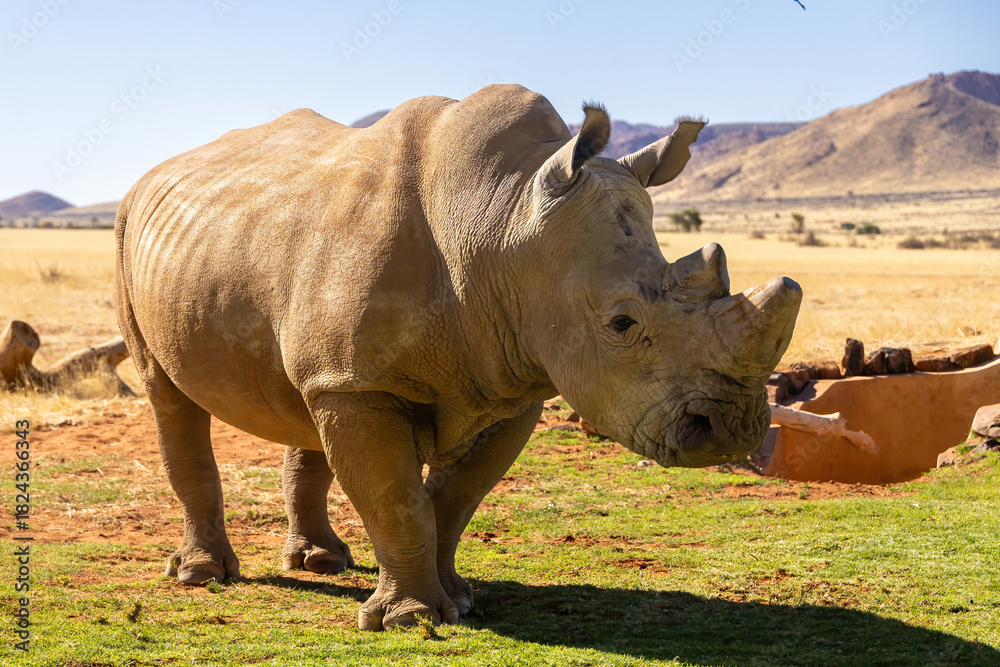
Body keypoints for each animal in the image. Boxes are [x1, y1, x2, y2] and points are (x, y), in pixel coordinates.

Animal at [115, 84, 801, 631]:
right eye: (622, 324)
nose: (730, 428)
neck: (503, 221)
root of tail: (151, 175)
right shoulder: (365, 386)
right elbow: (396, 499)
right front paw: (409, 620)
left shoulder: (513, 382)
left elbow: (452, 500)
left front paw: (459, 603)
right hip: (128, 231)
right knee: (167, 394)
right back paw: (202, 576)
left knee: (303, 398)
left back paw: (322, 562)